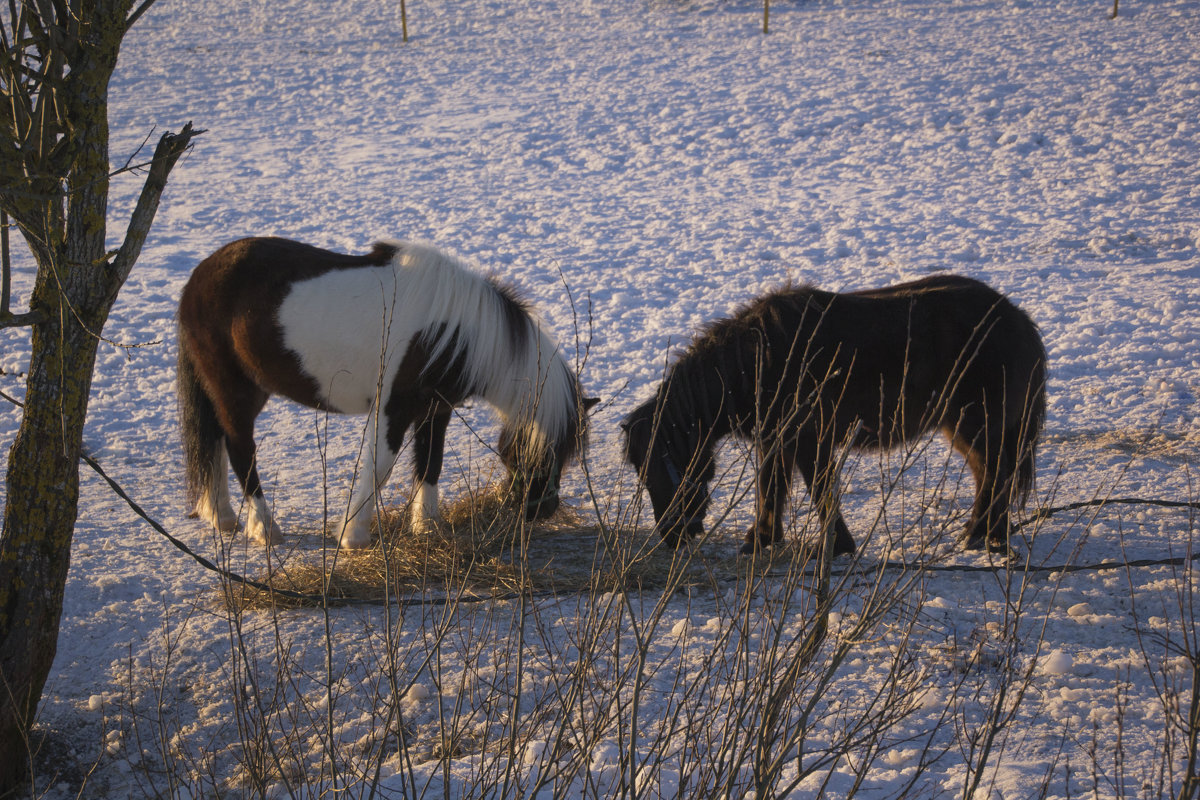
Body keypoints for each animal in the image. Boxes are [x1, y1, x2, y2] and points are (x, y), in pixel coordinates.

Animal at [175, 237, 592, 546]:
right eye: (541, 451)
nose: (541, 509)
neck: (450, 332)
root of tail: (199, 277)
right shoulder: (394, 407)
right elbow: (380, 468)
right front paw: (353, 536)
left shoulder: (435, 410)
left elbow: (430, 463)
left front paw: (427, 527)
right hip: (236, 390)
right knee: (240, 450)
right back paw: (264, 528)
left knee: (214, 440)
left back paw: (222, 516)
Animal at [624, 275, 1046, 556]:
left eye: (659, 466)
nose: (673, 537)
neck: (759, 362)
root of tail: (1019, 319)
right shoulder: (776, 441)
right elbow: (770, 488)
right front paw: (761, 540)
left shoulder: (809, 439)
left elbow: (820, 491)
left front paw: (836, 545)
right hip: (966, 429)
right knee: (988, 475)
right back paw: (983, 532)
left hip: (976, 426)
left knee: (996, 475)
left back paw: (985, 535)